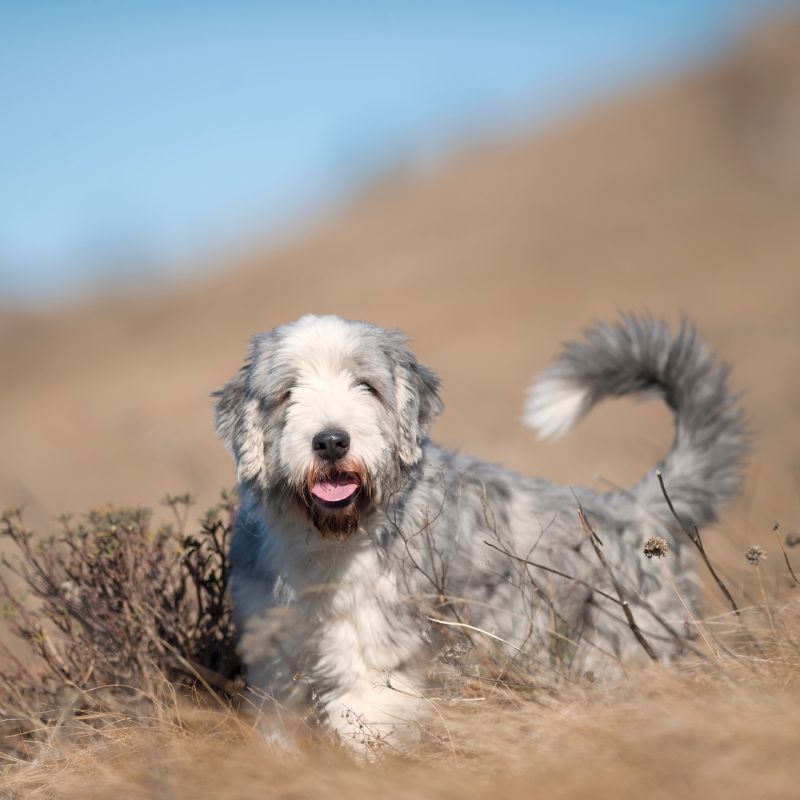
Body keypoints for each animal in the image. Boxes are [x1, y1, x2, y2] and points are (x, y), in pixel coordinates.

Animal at [212, 314, 744, 752]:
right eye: (287, 392)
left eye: (367, 386)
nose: (330, 441)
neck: (326, 538)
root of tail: (635, 508)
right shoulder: (274, 658)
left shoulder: (371, 661)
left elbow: (365, 730)